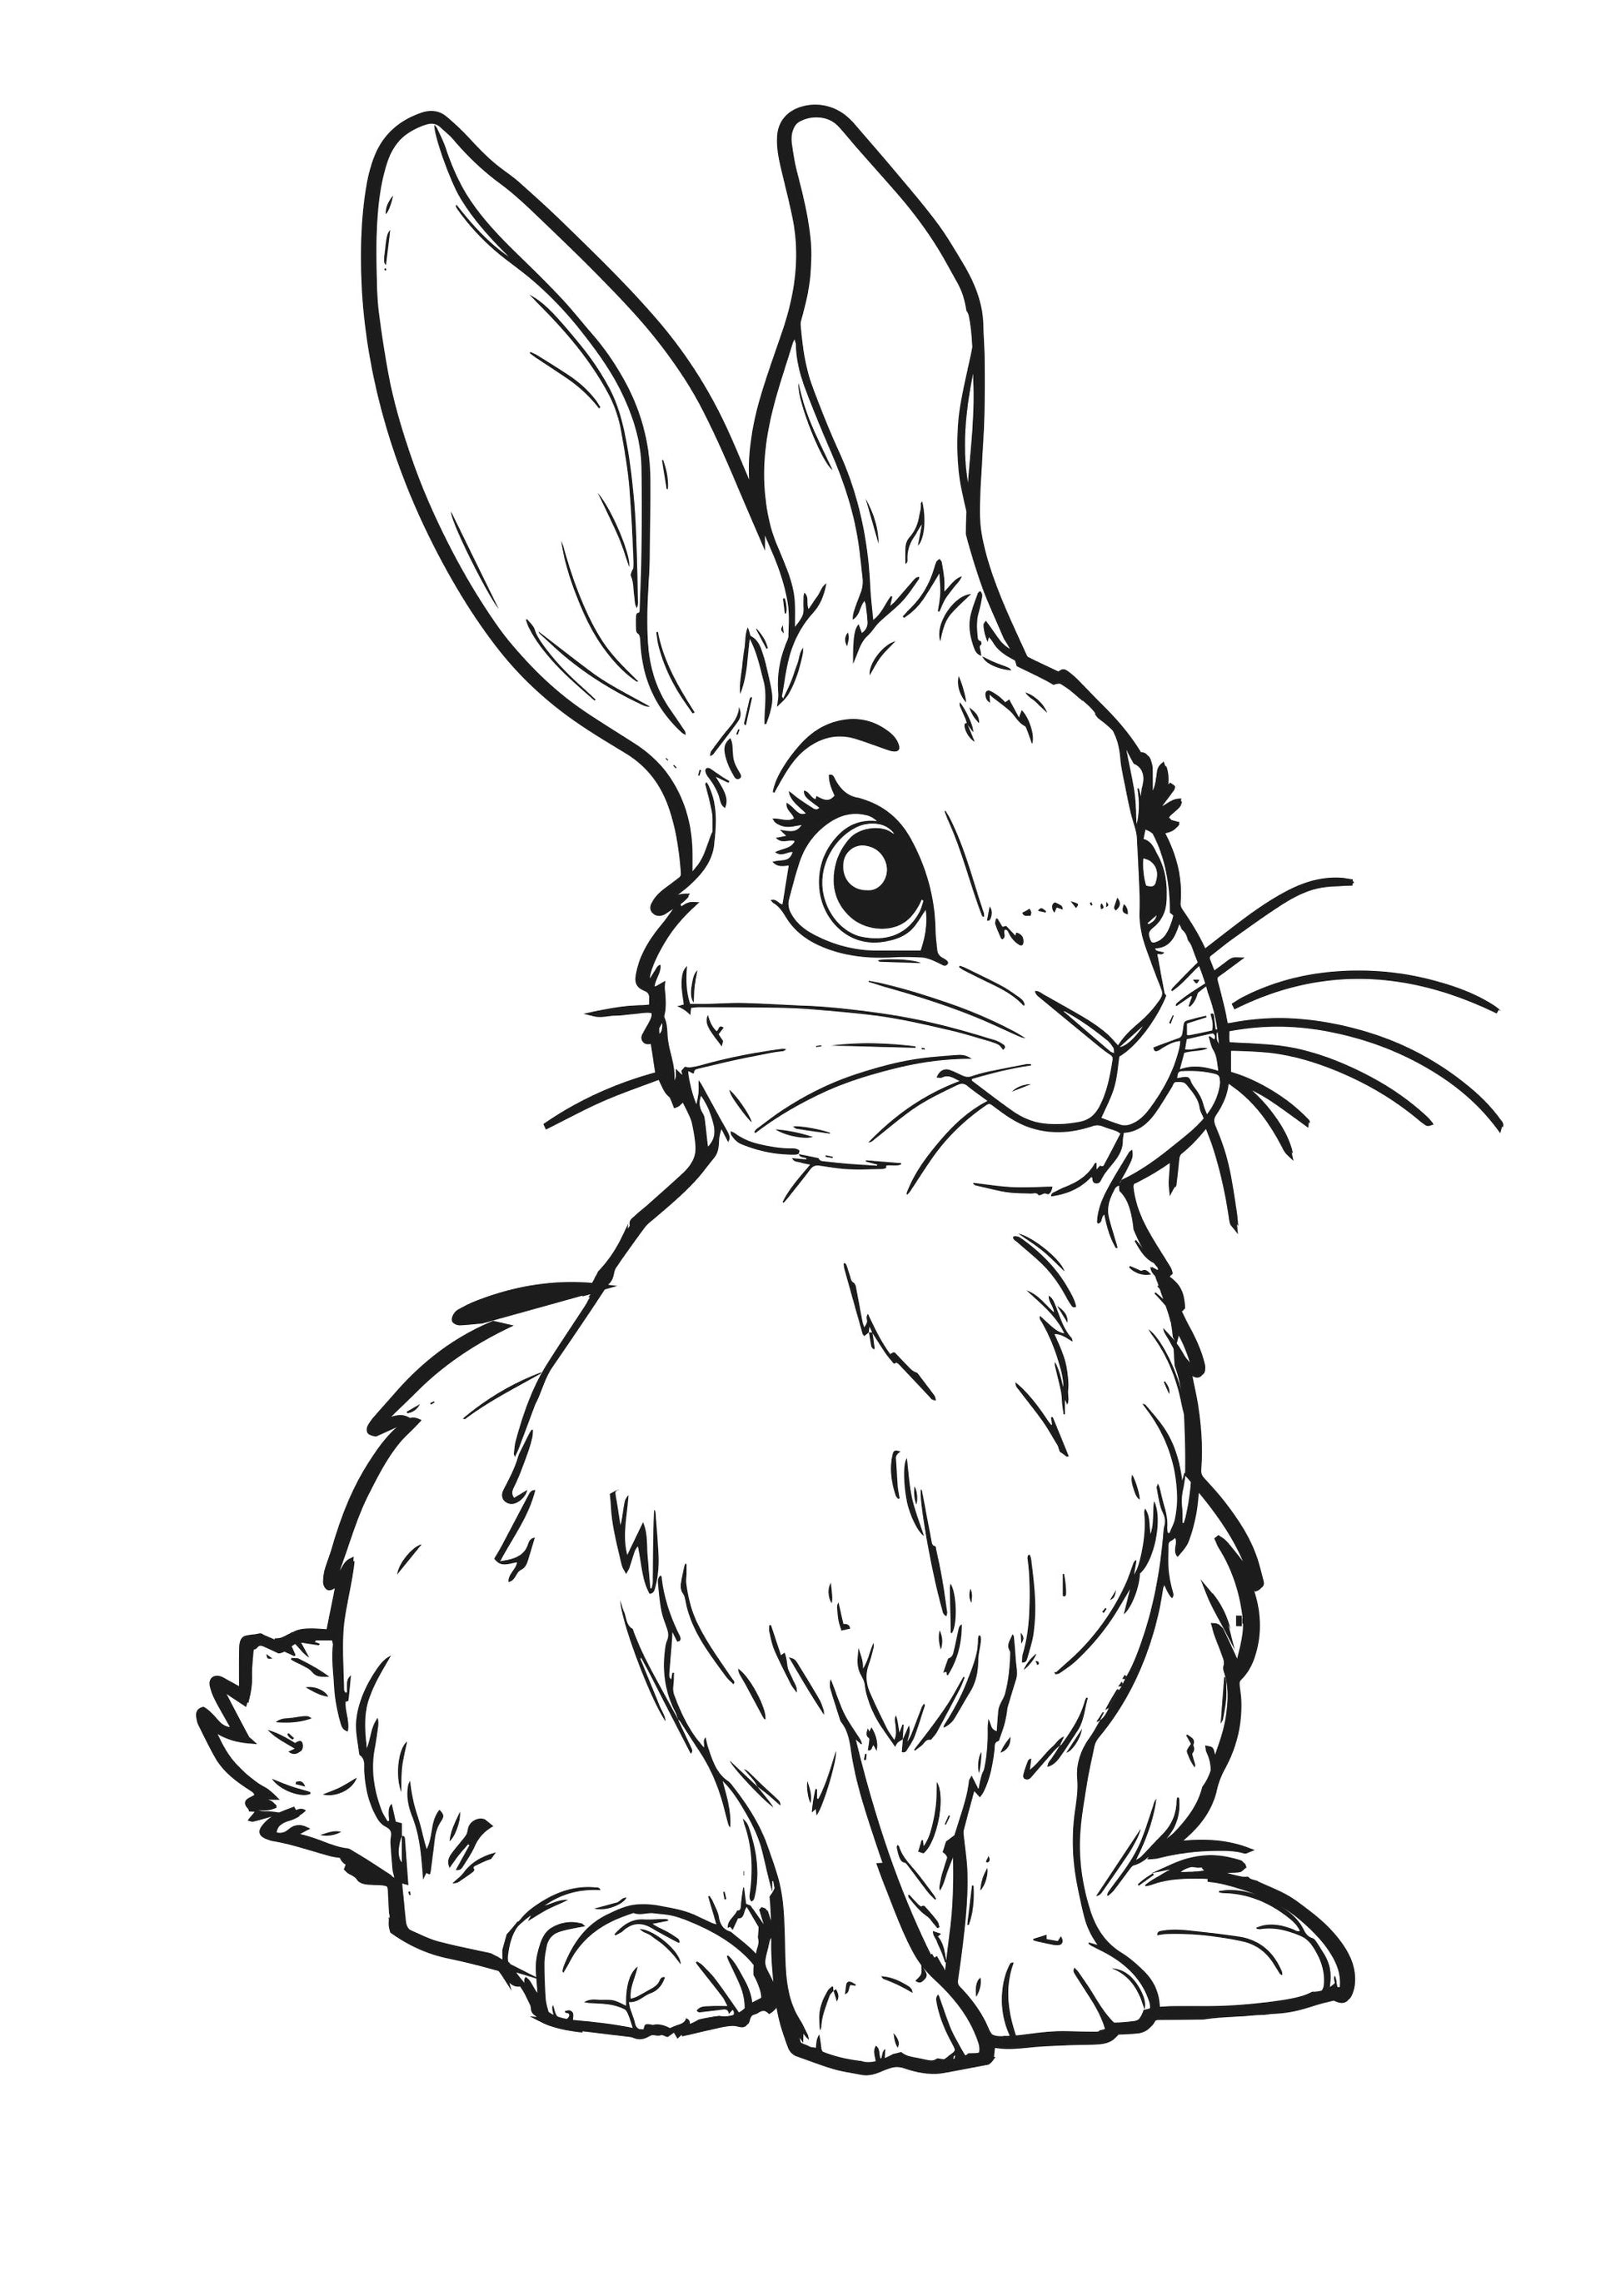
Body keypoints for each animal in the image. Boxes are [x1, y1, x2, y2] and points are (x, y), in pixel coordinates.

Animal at [201, 106, 1367, 2072]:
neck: (959, 1245)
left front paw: (1062, 1993)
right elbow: (819, 1822)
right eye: (867, 876)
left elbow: (1029, 1822)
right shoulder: (755, 1653)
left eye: (1148, 835)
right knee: (471, 1898)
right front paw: (888, 2018)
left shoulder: (1088, 1643)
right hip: (481, 1748)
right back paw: (646, 1957)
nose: (1126, 1027)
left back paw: (1219, 1934)